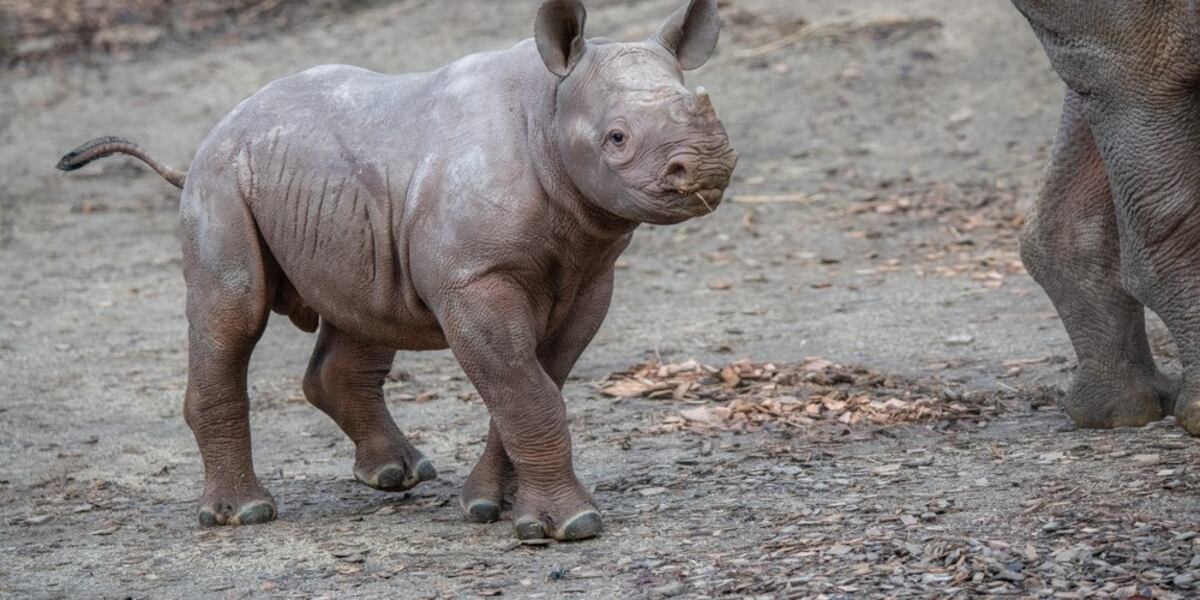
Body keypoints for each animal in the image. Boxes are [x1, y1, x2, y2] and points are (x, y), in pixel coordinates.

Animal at [57, 0, 737, 541]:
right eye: (616, 139)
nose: (707, 166)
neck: (549, 107)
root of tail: (208, 138)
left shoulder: (590, 278)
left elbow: (533, 384)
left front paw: (487, 506)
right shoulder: (473, 277)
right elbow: (527, 391)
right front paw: (569, 526)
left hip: (334, 192)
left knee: (364, 308)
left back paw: (396, 476)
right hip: (222, 179)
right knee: (232, 313)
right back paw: (243, 514)